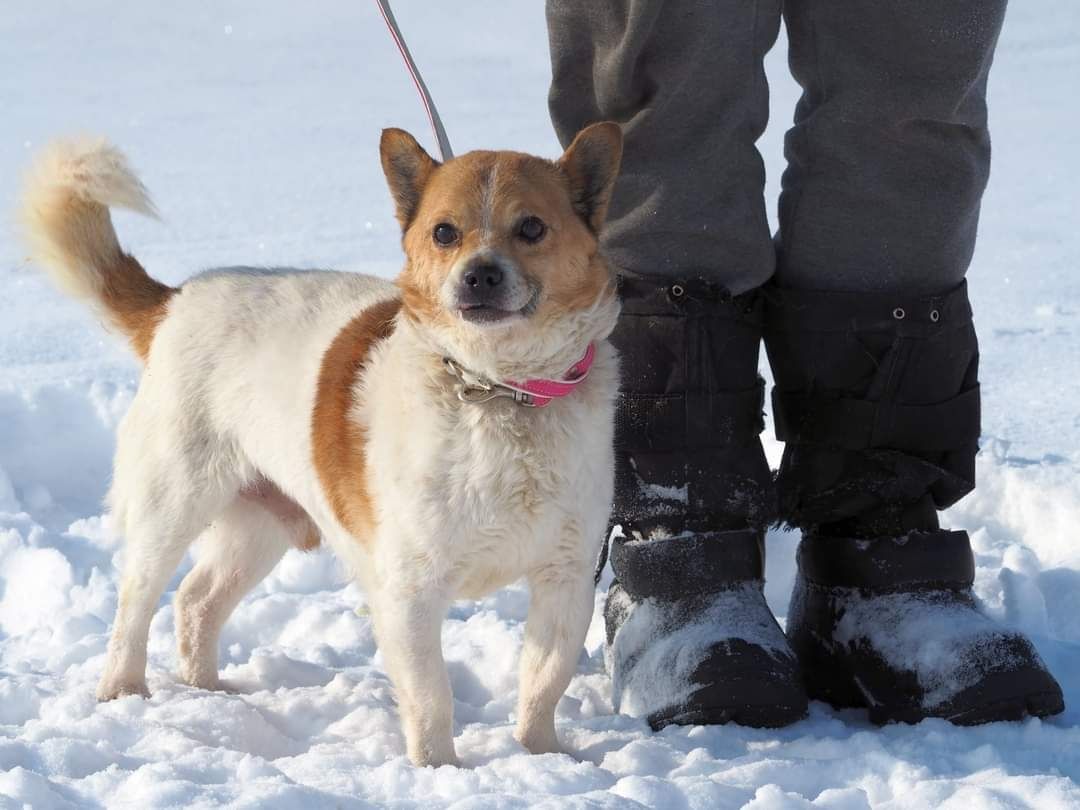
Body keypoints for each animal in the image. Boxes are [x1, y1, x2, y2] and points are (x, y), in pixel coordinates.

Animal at [16, 123, 626, 768]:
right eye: (444, 232)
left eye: (531, 227)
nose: (479, 274)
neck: (497, 391)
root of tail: (176, 300)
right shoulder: (409, 589)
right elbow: (431, 697)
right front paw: (438, 770)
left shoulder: (565, 579)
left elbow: (543, 682)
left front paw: (544, 758)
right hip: (174, 502)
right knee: (136, 600)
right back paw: (124, 689)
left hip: (263, 524)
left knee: (196, 600)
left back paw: (209, 691)